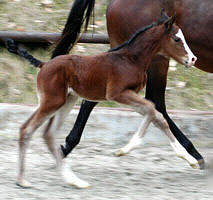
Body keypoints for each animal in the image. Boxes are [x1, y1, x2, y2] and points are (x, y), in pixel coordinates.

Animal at [7, 12, 196, 188]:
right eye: (177, 38)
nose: (193, 59)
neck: (131, 59)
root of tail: (44, 65)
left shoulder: (129, 94)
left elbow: (156, 116)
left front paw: (190, 159)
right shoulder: (117, 93)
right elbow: (152, 109)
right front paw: (124, 150)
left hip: (66, 101)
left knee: (48, 134)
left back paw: (74, 181)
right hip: (52, 102)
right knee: (27, 129)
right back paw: (22, 180)